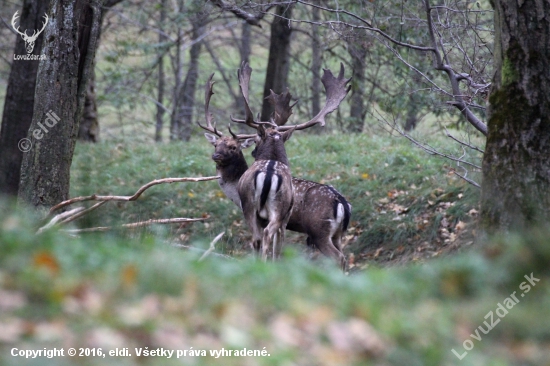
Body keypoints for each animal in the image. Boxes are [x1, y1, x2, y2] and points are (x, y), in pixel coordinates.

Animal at [203, 63, 354, 268]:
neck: (234, 191)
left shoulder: (274, 216)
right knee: (343, 256)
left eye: (233, 147)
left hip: (316, 229)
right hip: (338, 233)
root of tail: (343, 204)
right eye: (216, 144)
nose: (216, 155)